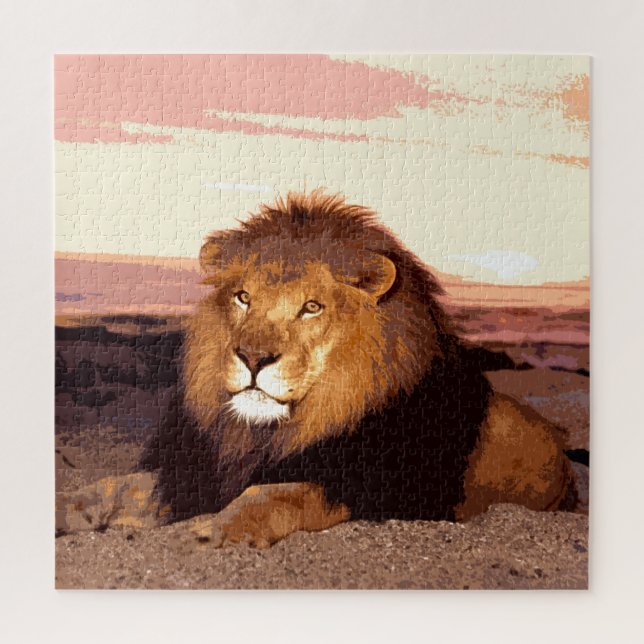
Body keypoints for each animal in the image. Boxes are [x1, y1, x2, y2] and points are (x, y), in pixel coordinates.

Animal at [57, 190, 577, 547]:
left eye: (311, 307)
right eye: (242, 297)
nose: (253, 358)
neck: (268, 434)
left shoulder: (375, 490)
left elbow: (278, 494)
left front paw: (212, 530)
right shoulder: (191, 472)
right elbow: (113, 486)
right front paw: (65, 507)